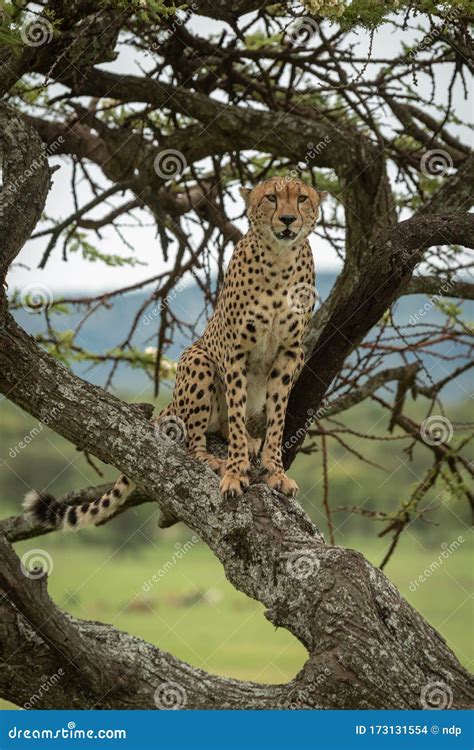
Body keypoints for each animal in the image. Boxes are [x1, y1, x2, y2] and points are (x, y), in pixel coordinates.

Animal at [25, 178, 326, 532]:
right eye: (271, 198)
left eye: (302, 198)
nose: (288, 219)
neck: (280, 259)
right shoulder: (234, 351)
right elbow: (237, 417)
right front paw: (235, 471)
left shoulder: (290, 352)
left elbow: (277, 418)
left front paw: (275, 471)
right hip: (198, 359)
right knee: (199, 439)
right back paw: (215, 458)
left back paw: (252, 443)